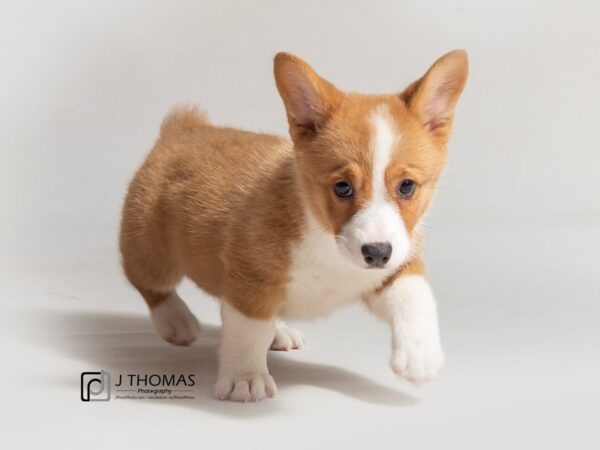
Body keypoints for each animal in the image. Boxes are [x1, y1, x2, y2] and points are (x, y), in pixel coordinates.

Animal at [119, 51, 466, 402]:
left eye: (407, 186)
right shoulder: (252, 279)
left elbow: (415, 296)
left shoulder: (397, 266)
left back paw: (279, 331)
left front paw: (420, 357)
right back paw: (176, 321)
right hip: (151, 253)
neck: (325, 235)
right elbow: (248, 330)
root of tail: (182, 129)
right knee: (148, 283)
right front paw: (245, 378)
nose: (377, 253)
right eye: (342, 187)